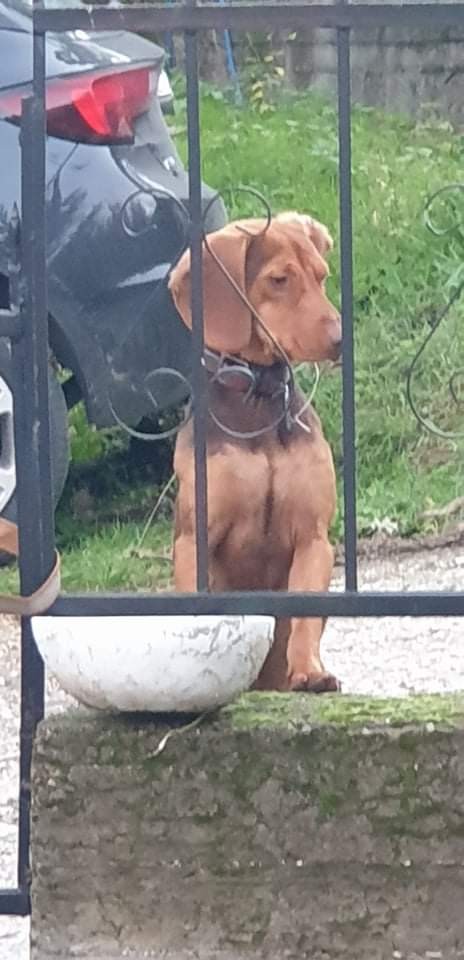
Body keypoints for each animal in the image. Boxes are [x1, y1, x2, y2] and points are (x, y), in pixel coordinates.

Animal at [168, 212, 341, 693]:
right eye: (279, 280)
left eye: (322, 275)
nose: (341, 340)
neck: (258, 400)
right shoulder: (195, 541)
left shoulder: (313, 538)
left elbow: (303, 616)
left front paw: (310, 670)